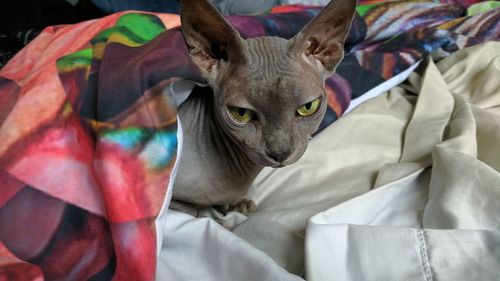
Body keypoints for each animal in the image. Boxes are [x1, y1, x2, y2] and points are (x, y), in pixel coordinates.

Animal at [171, 0, 356, 215]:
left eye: (308, 107)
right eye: (241, 114)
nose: (280, 153)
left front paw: (238, 204)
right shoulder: (172, 198)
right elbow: (195, 211)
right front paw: (221, 213)